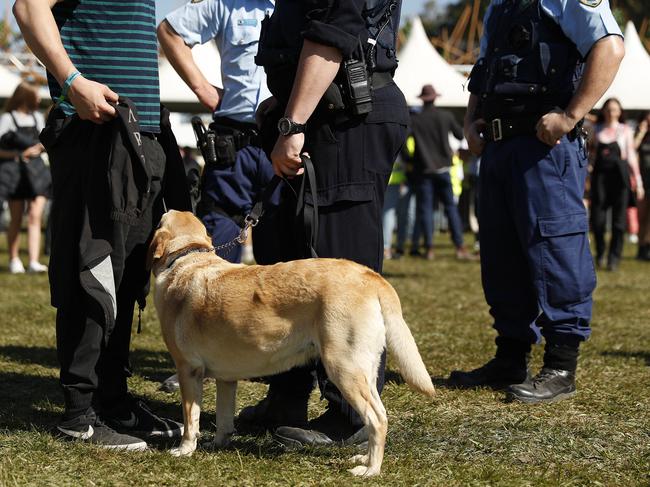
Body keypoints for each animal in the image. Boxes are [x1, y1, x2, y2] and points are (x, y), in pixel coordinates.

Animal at [147, 212, 430, 478]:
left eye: (159, 220)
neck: (187, 259)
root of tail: (371, 276)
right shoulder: (226, 378)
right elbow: (224, 417)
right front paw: (217, 444)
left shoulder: (188, 370)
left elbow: (190, 419)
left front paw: (184, 449)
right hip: (364, 370)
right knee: (377, 415)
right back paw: (365, 457)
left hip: (343, 367)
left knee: (378, 418)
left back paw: (371, 469)